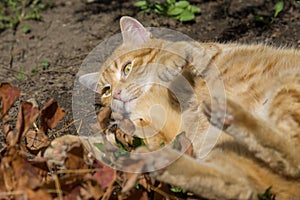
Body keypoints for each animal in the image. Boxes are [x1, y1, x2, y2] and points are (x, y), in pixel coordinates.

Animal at [78, 16, 298, 199]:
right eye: (106, 90)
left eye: (127, 68)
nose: (115, 94)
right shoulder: (168, 134)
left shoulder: (206, 56)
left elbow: (181, 46)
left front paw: (168, 63)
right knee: (240, 187)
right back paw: (156, 160)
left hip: (286, 87)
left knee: (291, 153)